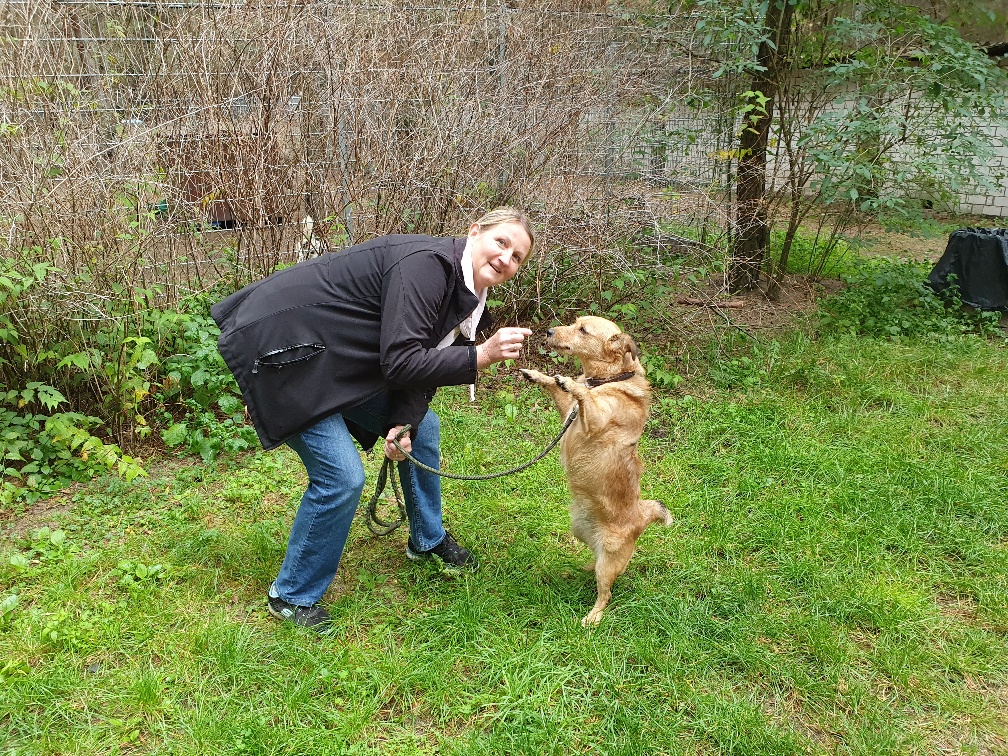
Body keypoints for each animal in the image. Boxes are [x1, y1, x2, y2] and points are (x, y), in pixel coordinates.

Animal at [521, 316, 671, 626]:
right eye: (574, 323)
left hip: (609, 560)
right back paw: (579, 570)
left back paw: (592, 618)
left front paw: (567, 381)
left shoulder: (595, 417)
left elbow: (581, 395)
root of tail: (643, 516)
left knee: (606, 594)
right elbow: (559, 389)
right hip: (580, 531)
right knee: (594, 563)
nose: (549, 331)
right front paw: (538, 375)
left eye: (583, 330)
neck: (607, 380)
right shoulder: (568, 411)